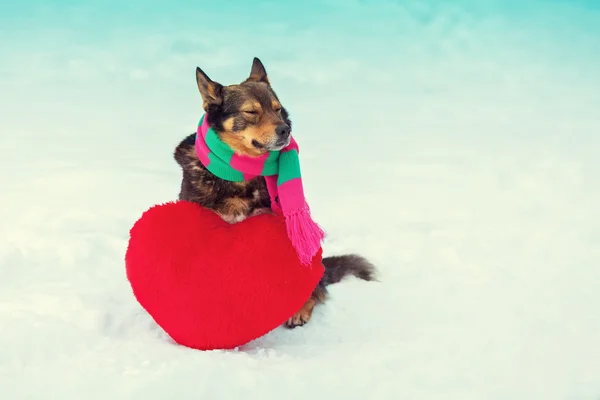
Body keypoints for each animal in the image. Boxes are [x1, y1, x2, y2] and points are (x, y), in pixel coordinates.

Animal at [171, 57, 376, 328]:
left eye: (277, 109)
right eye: (251, 112)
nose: (285, 129)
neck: (239, 175)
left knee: (316, 292)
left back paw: (299, 310)